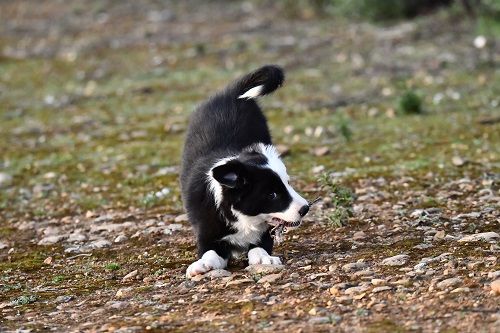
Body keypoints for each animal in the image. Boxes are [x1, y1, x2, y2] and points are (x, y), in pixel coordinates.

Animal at [182, 65, 310, 278]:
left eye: (288, 183)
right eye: (272, 194)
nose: (305, 208)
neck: (244, 218)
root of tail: (231, 94)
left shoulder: (265, 231)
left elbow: (259, 246)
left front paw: (265, 259)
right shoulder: (208, 230)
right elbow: (210, 252)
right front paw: (202, 265)